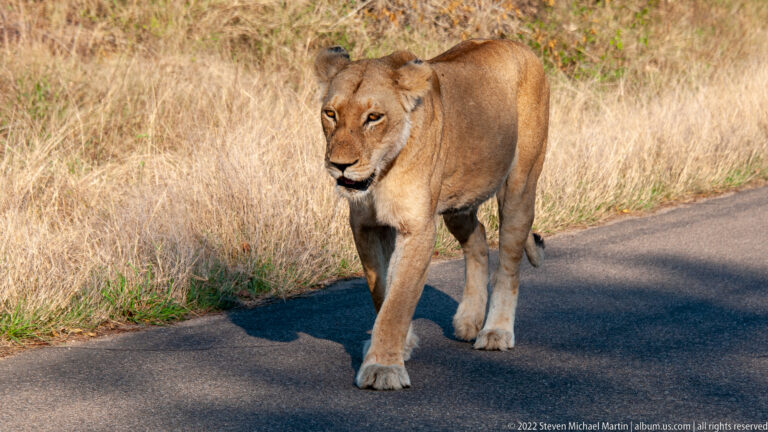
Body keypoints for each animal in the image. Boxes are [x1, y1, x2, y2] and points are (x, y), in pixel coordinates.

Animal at [314, 39, 549, 390]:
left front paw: (383, 367)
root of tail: (518, 44)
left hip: (519, 186)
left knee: (509, 260)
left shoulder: (417, 228)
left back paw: (495, 331)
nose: (340, 165)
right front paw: (401, 345)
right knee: (478, 238)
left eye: (374, 117)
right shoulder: (365, 226)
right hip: (458, 199)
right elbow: (382, 291)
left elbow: (398, 301)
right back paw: (468, 320)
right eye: (330, 113)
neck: (382, 172)